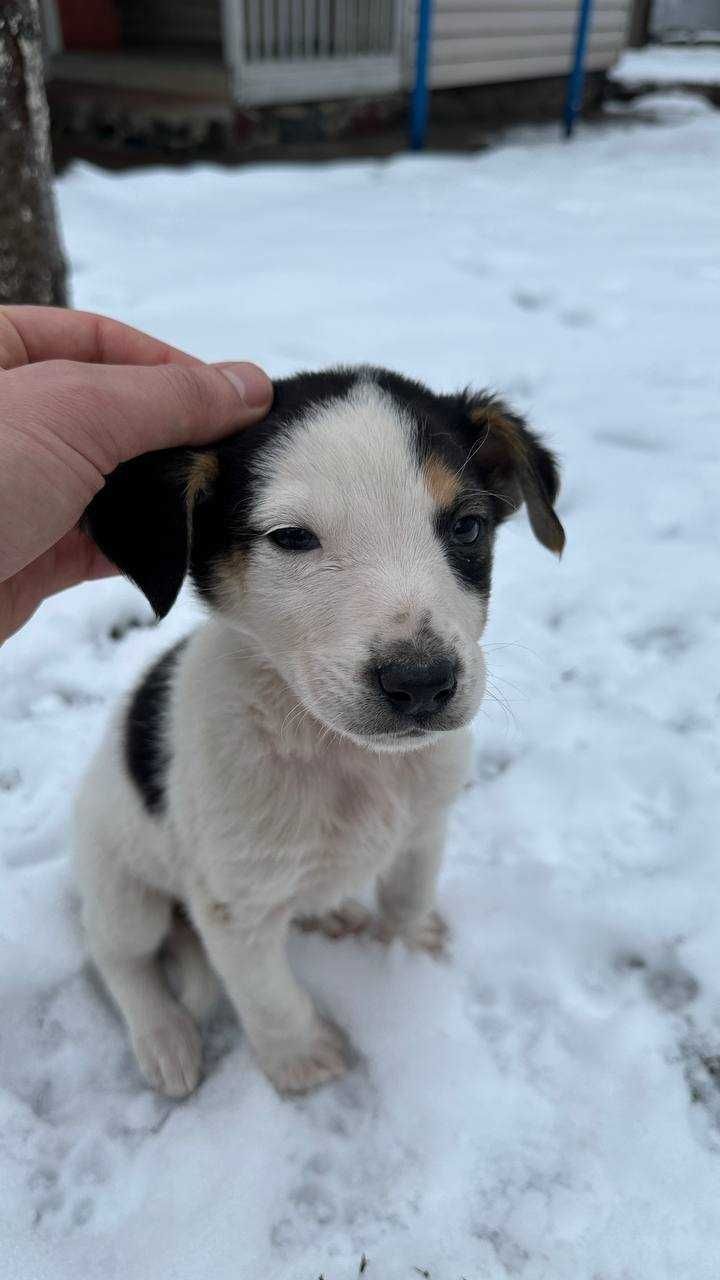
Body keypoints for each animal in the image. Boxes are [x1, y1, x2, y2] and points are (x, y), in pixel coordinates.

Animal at [75, 371, 563, 1100]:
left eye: (467, 525)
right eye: (291, 538)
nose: (421, 682)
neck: (343, 754)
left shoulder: (425, 825)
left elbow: (407, 891)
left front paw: (408, 942)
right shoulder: (234, 904)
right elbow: (268, 994)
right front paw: (300, 1059)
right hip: (121, 887)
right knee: (120, 960)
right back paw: (163, 1037)